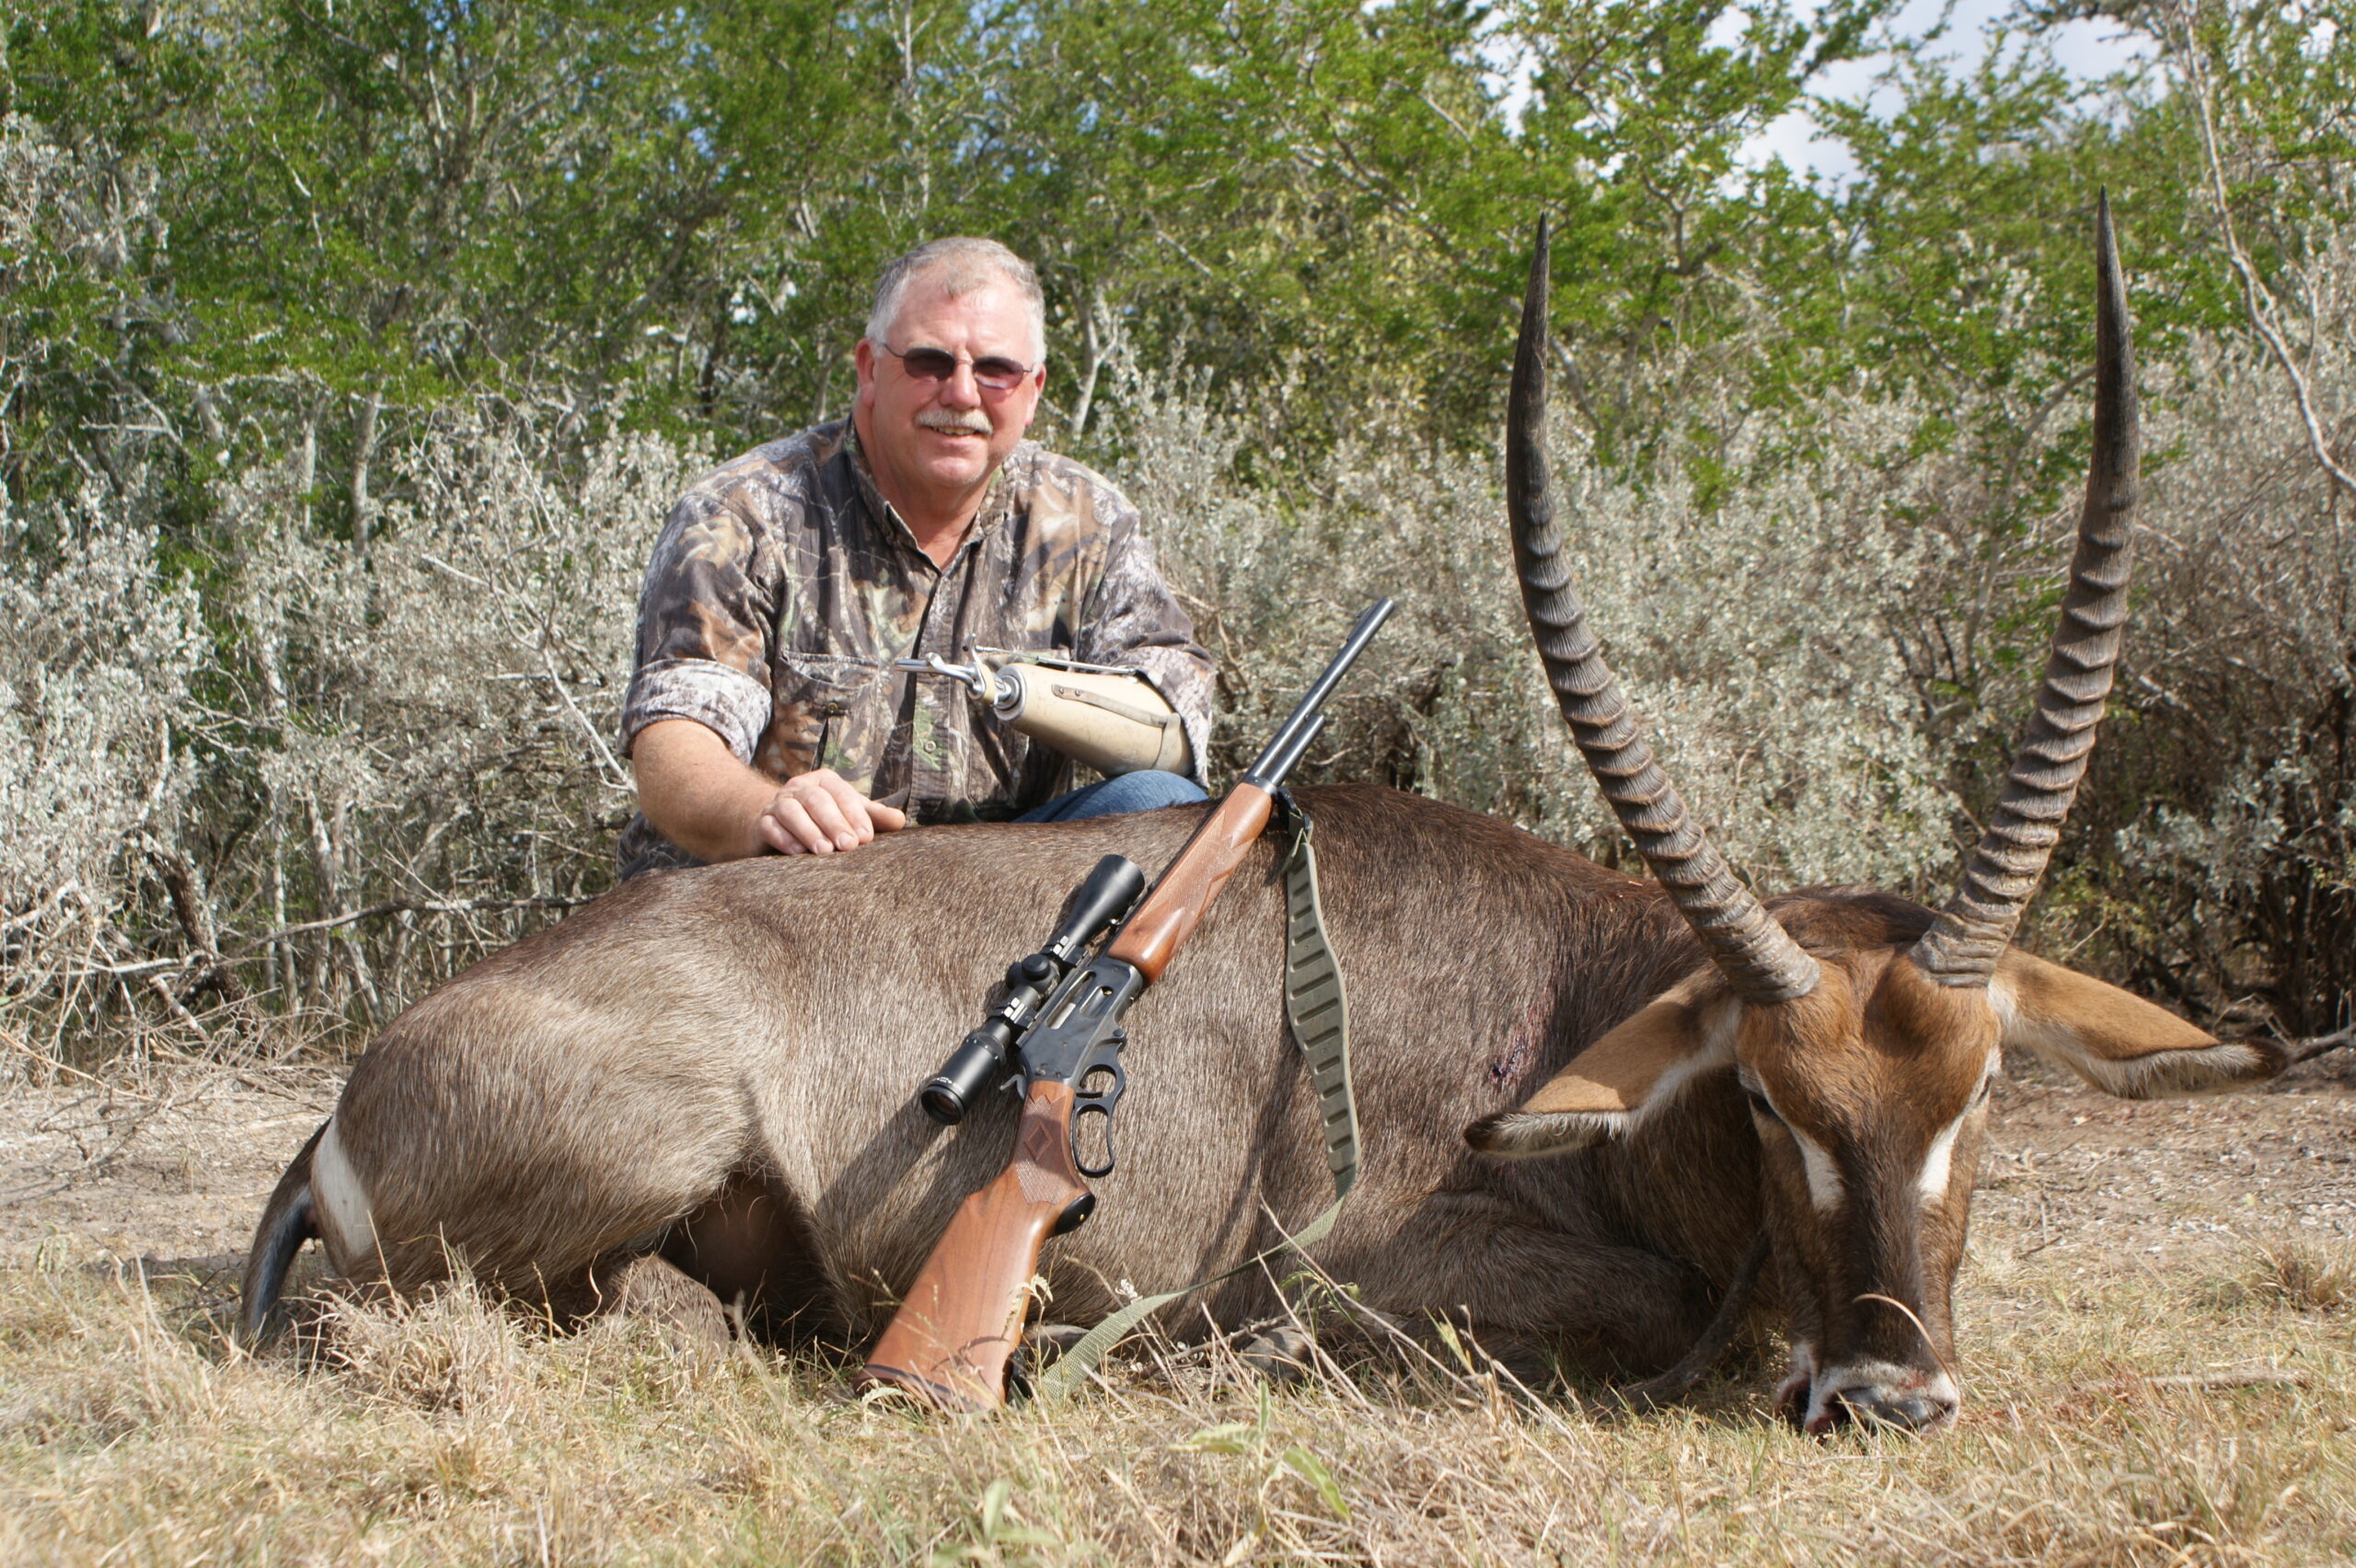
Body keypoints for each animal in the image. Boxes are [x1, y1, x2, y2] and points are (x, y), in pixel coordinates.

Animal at [243, 204, 2281, 1431]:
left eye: (1981, 1088)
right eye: (1772, 1100)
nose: (1886, 1395)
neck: (1579, 1005)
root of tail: (363, 1084)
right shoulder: (1380, 1280)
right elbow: (1631, 1320)